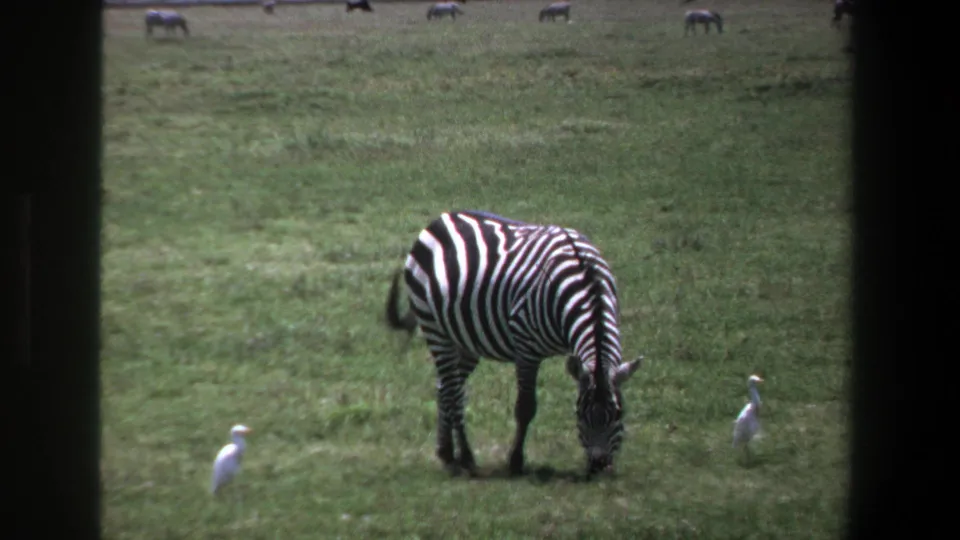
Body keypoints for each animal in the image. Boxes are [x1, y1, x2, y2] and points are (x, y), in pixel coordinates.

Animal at [385, 210, 644, 478]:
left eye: (619, 413)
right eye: (579, 413)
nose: (599, 465)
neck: (587, 282)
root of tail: (441, 218)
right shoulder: (526, 348)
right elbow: (526, 407)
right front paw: (515, 461)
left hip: (464, 340)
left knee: (445, 387)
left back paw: (446, 452)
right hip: (436, 330)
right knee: (454, 393)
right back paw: (465, 457)